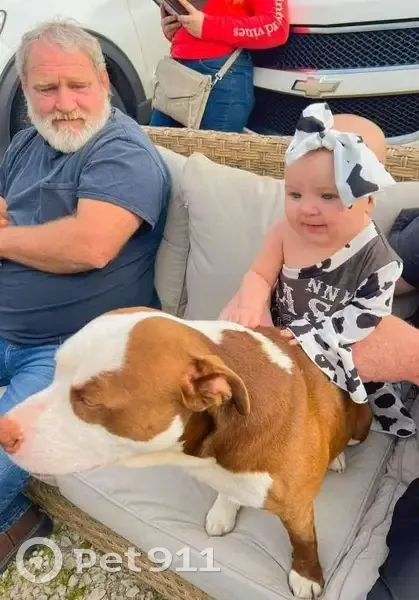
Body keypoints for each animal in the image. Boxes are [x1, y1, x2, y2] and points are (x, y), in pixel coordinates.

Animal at [0, 307, 372, 599]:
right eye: (55, 369)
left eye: (89, 400)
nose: (4, 430)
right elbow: (228, 491)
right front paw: (225, 508)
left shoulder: (296, 506)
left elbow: (303, 539)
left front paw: (306, 575)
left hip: (362, 423)